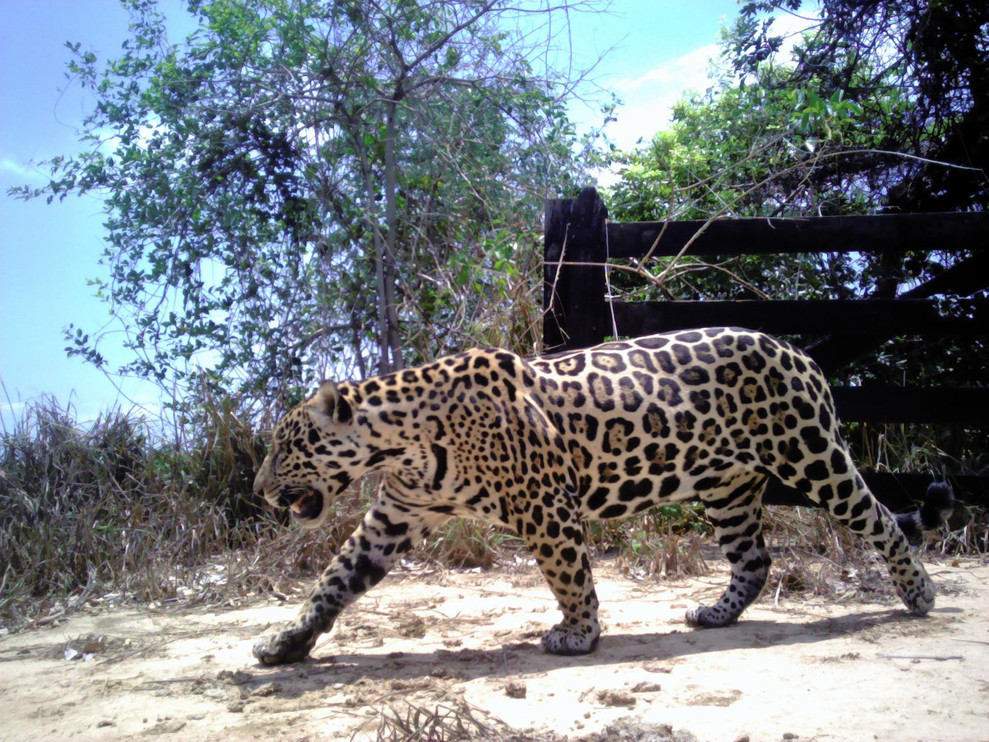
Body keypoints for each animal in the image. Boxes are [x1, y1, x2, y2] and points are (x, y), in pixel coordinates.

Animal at [252, 327, 954, 665]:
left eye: (284, 445)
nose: (258, 491)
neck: (403, 442)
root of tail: (799, 351)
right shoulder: (396, 513)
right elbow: (334, 582)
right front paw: (285, 644)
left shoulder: (544, 505)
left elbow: (569, 576)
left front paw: (579, 635)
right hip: (727, 487)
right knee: (754, 559)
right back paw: (715, 615)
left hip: (812, 455)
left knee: (882, 519)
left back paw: (919, 594)